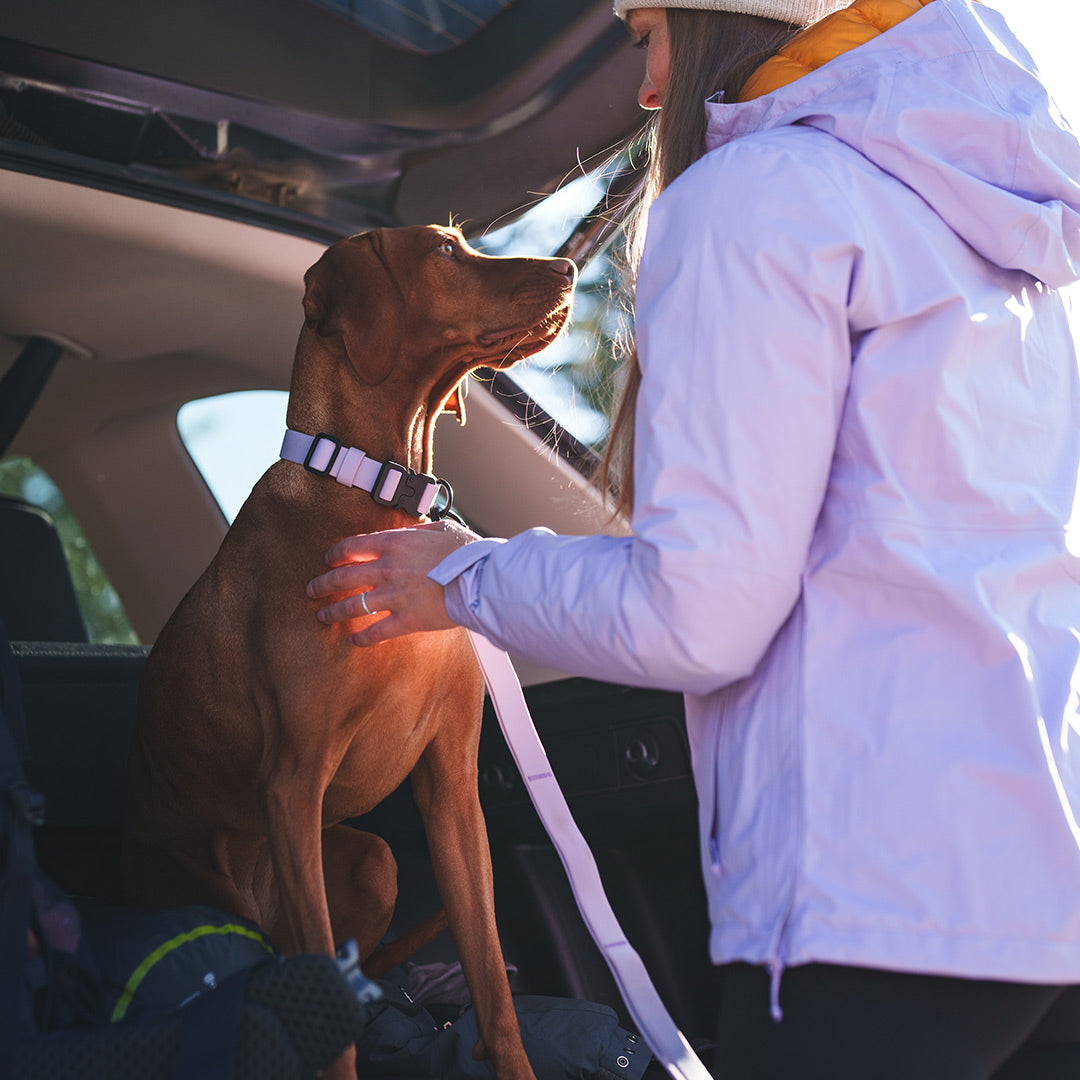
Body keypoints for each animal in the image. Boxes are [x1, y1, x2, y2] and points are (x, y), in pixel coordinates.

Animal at [123, 225, 578, 1080]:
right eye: (444, 252)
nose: (569, 268)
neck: (374, 493)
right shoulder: (293, 783)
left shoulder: (452, 781)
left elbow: (491, 980)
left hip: (374, 861)